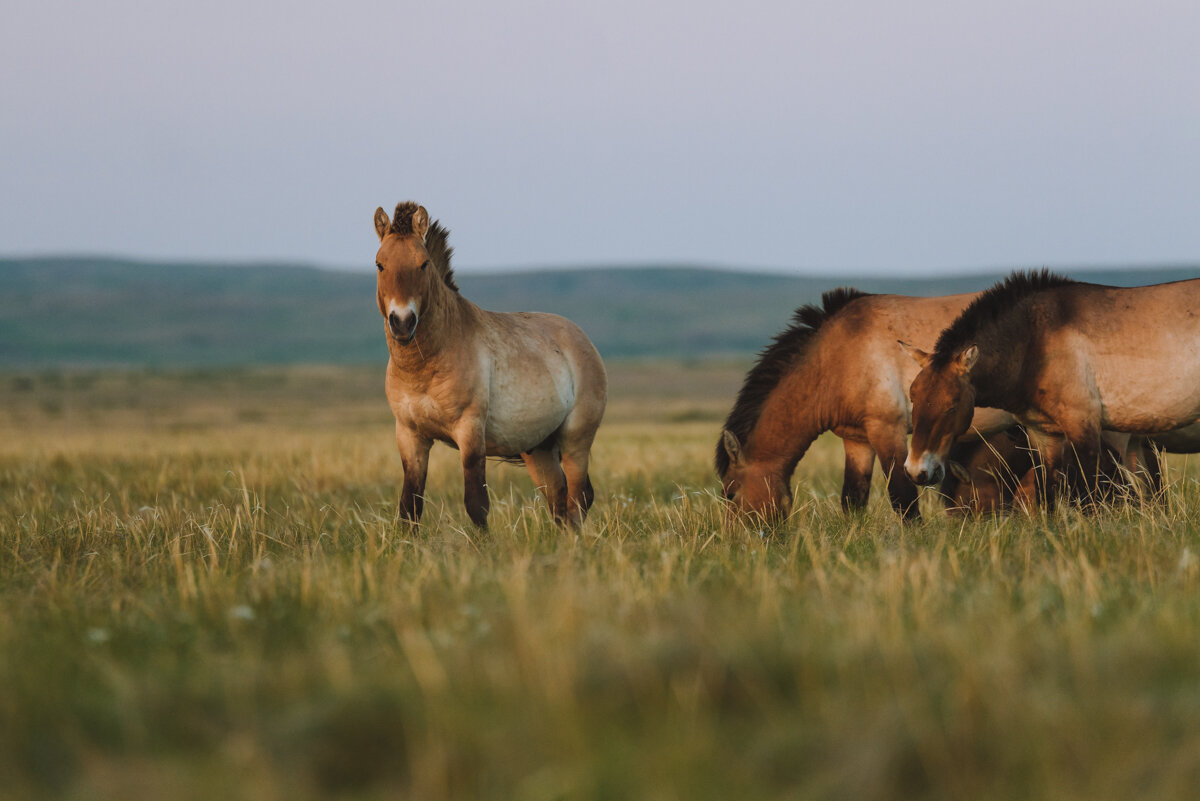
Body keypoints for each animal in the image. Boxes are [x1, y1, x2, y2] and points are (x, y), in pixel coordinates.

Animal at [372, 200, 604, 527]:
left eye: (424, 264)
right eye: (380, 264)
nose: (403, 323)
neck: (425, 365)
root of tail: (582, 338)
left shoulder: (470, 431)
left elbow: (476, 504)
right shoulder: (410, 436)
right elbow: (410, 508)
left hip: (576, 443)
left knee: (577, 502)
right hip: (539, 450)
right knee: (559, 502)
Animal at [715, 287, 1017, 525]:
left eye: (730, 493)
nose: (735, 542)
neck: (841, 356)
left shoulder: (888, 430)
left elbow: (903, 499)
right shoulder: (857, 440)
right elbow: (853, 499)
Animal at [902, 272, 1200, 503]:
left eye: (952, 405)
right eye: (913, 396)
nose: (917, 471)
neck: (1035, 341)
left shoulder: (1085, 427)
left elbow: (1091, 495)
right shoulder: (1044, 435)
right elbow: (1047, 494)